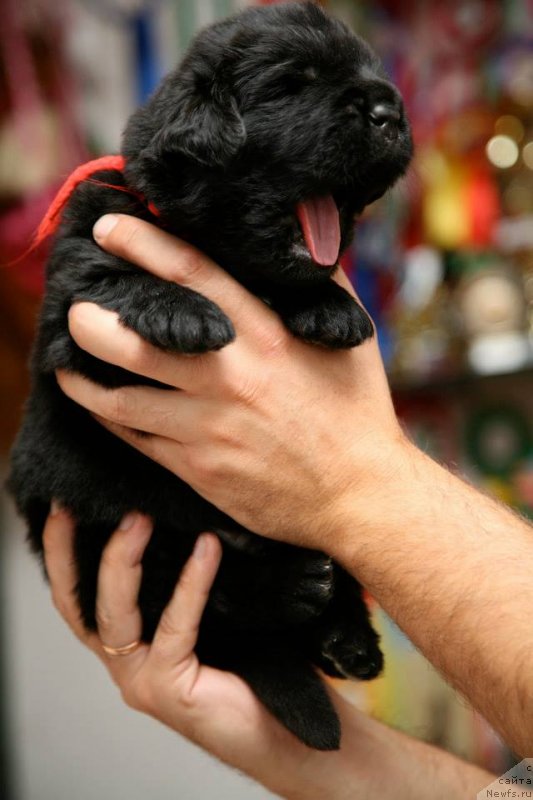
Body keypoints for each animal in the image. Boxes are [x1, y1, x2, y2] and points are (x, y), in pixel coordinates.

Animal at [10, 1, 414, 752]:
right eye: (292, 84)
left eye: (373, 73)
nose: (388, 110)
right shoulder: (70, 319)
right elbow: (114, 280)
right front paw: (185, 313)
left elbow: (302, 276)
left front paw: (332, 308)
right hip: (123, 531)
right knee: (212, 607)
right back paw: (289, 593)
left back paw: (346, 637)